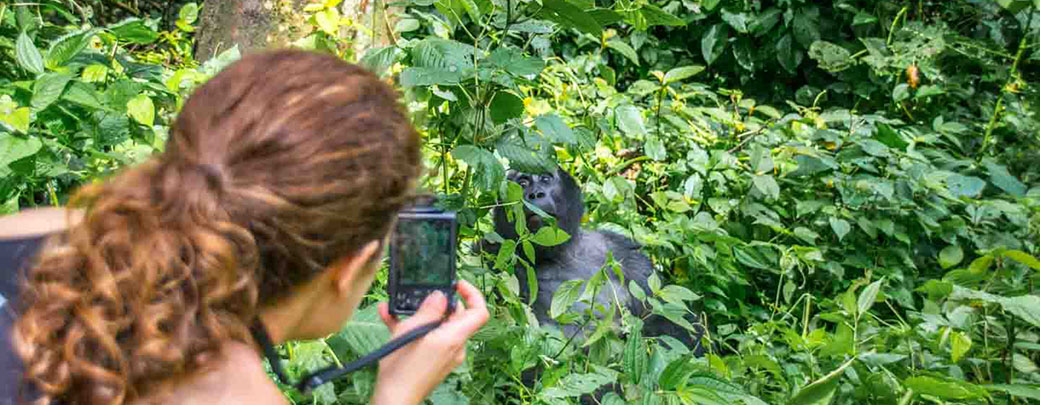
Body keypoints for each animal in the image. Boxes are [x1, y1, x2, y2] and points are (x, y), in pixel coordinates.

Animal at [484, 165, 698, 351]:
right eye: (522, 183)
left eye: (545, 179)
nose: (535, 194)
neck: (561, 255)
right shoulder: (491, 251)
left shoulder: (622, 250)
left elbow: (667, 321)